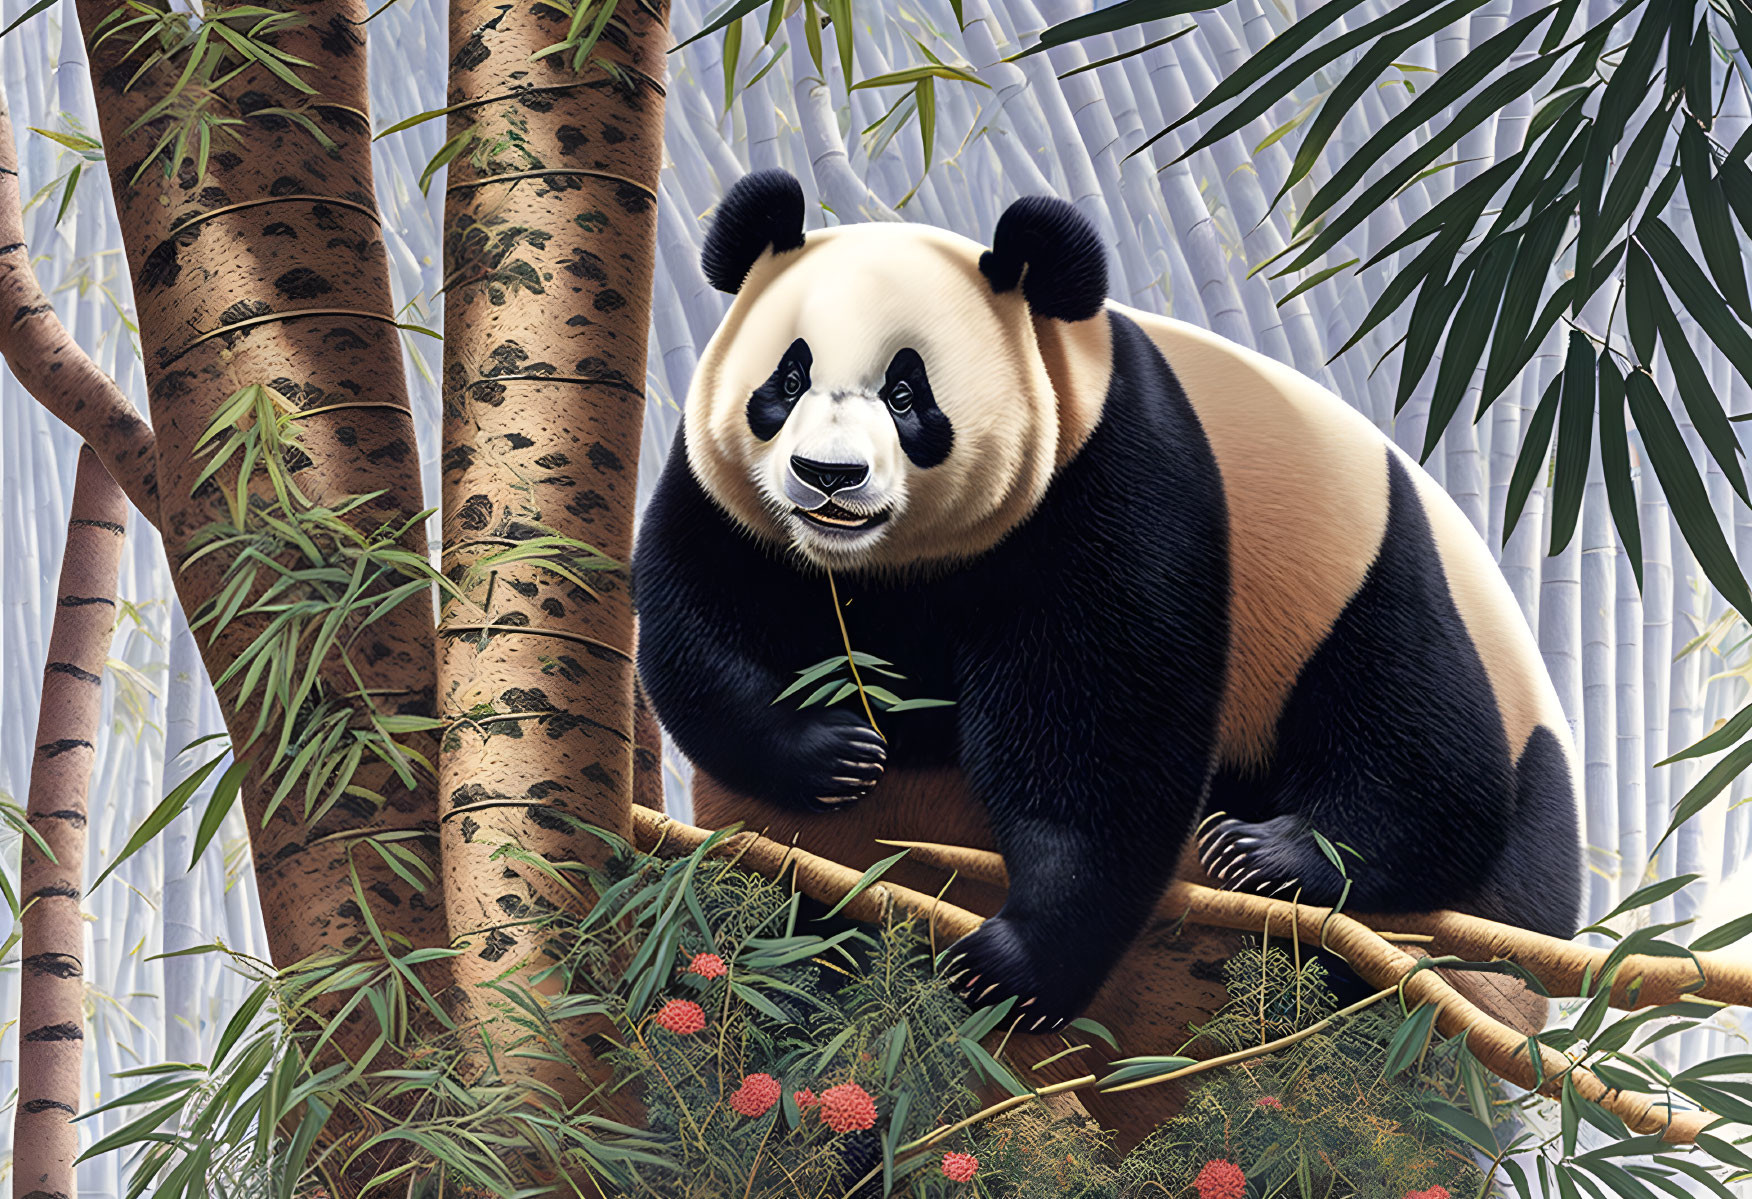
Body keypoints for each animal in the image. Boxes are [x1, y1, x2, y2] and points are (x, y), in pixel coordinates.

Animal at [634, 168, 1590, 1030]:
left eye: (907, 393)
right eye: (786, 381)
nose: (827, 475)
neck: (884, 565)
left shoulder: (1111, 476)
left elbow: (1101, 733)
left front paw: (1015, 967)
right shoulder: (732, 505)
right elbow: (696, 622)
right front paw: (830, 754)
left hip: (1375, 578)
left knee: (1420, 741)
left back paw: (1273, 860)